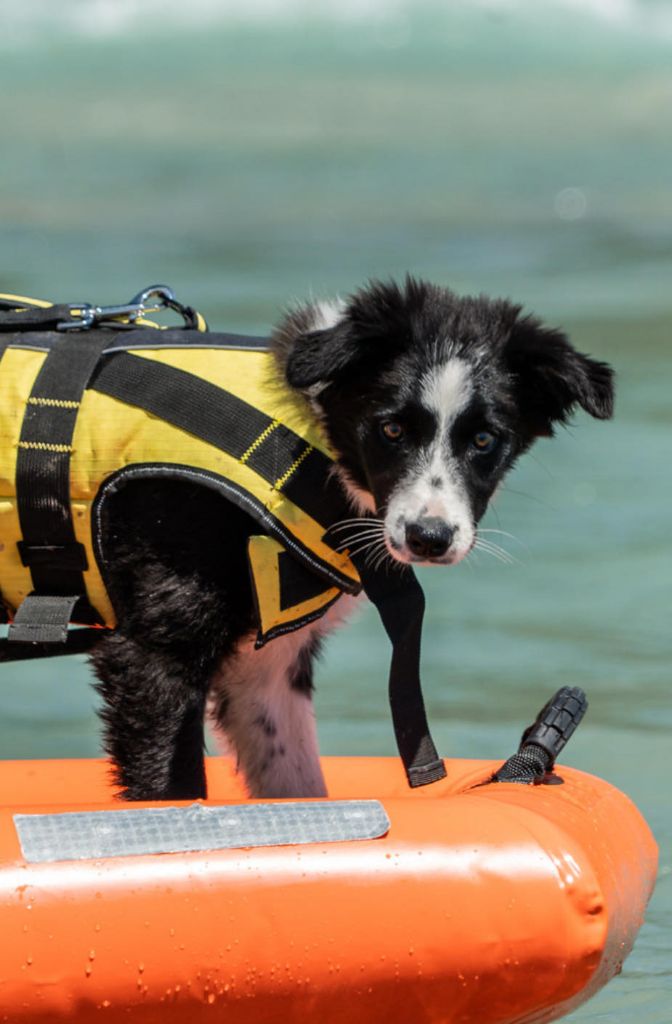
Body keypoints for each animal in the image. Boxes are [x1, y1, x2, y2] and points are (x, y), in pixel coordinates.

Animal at [90, 278, 614, 798]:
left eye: (484, 440)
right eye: (392, 429)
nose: (429, 538)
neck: (307, 443)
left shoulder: (267, 668)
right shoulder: (156, 655)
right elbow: (173, 795)